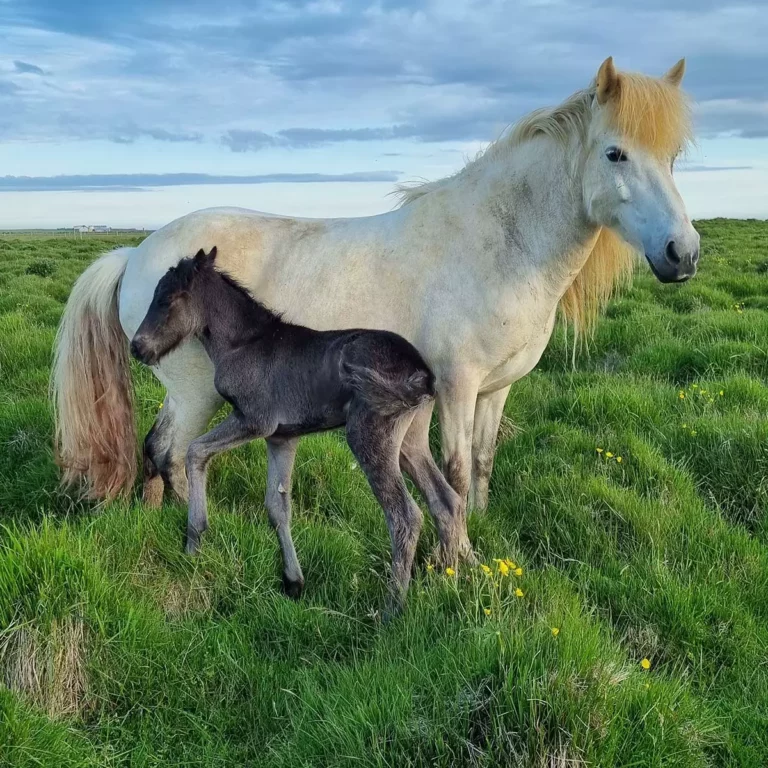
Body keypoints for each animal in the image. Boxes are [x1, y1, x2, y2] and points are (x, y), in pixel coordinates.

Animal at [52, 58, 696, 552]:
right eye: (615, 153)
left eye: (671, 159)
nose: (682, 252)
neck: (494, 244)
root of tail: (138, 252)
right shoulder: (455, 387)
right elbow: (455, 472)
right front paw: (455, 555)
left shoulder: (495, 390)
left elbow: (483, 463)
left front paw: (479, 531)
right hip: (197, 392)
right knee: (176, 450)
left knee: (157, 446)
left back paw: (151, 516)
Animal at [130, 246, 462, 612]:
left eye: (168, 299)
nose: (137, 347)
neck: (243, 343)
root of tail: (424, 372)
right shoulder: (282, 437)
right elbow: (277, 507)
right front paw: (293, 581)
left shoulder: (254, 420)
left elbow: (195, 452)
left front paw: (195, 539)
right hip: (410, 441)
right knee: (447, 500)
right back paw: (451, 580)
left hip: (369, 434)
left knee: (405, 515)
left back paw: (391, 609)